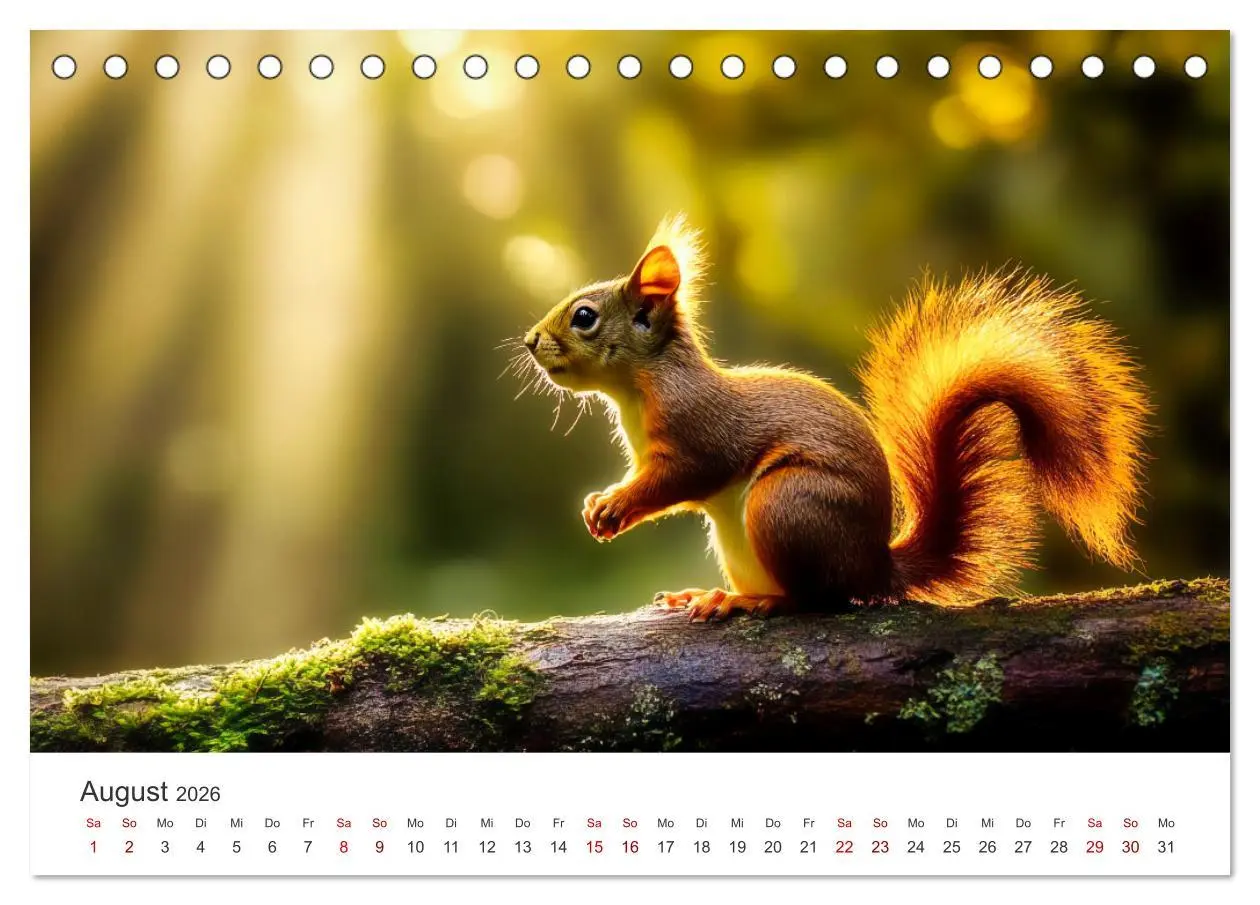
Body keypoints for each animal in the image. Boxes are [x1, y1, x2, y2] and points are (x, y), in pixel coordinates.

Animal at [521, 215, 1151, 621]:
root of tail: (874, 567)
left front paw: (613, 506)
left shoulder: (698, 434)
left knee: (816, 599)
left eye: (584, 317)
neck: (641, 387)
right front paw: (599, 503)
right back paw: (705, 594)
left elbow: (679, 480)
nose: (529, 342)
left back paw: (753, 601)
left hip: (786, 504)